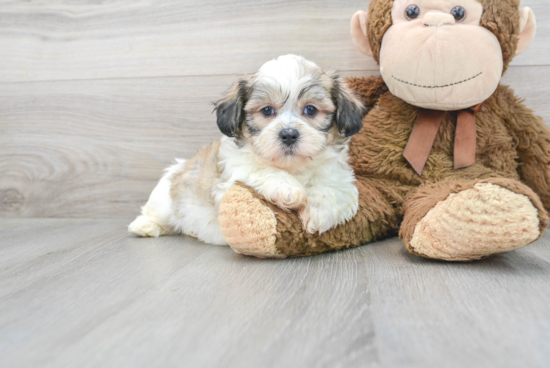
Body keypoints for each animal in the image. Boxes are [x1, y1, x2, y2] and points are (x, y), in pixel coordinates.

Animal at [129, 54, 366, 244]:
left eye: (311, 110)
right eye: (267, 110)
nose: (289, 134)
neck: (293, 168)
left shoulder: (339, 175)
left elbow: (334, 189)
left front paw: (319, 210)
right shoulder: (231, 176)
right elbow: (261, 169)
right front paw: (288, 189)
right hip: (165, 196)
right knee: (157, 214)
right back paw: (144, 226)